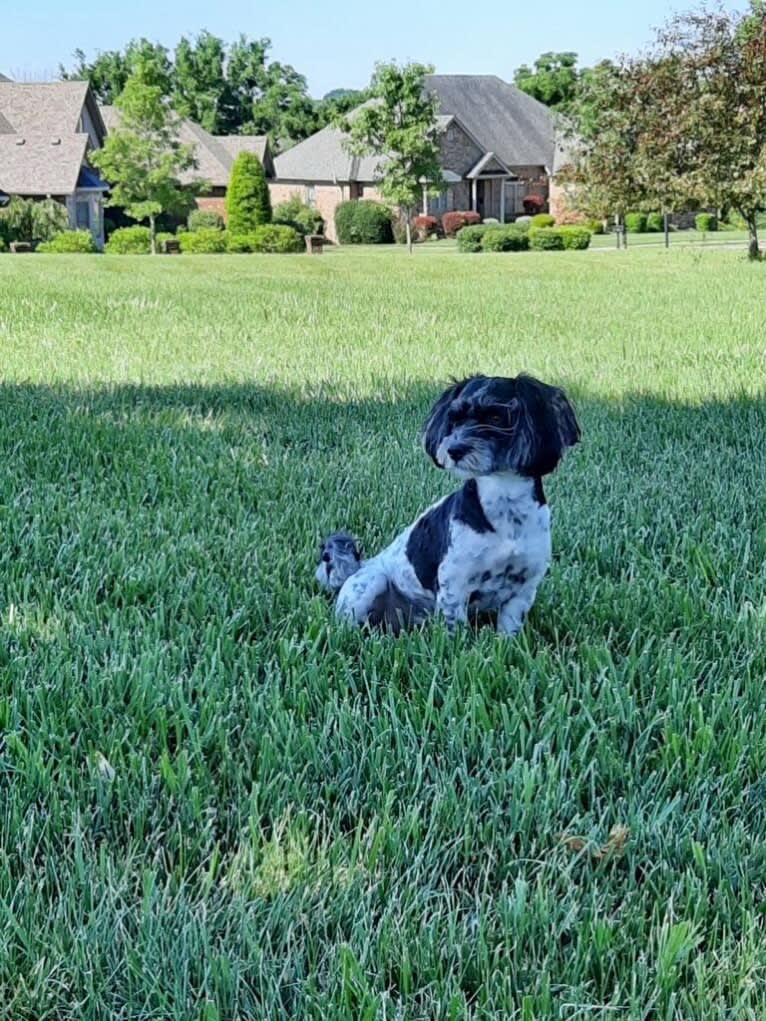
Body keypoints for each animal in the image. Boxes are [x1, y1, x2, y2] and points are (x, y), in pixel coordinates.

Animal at [314, 371, 580, 633]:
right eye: (455, 418)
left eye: (495, 417)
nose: (454, 449)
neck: (505, 505)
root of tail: (362, 566)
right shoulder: (455, 582)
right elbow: (456, 632)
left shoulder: (524, 589)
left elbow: (509, 630)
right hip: (371, 583)